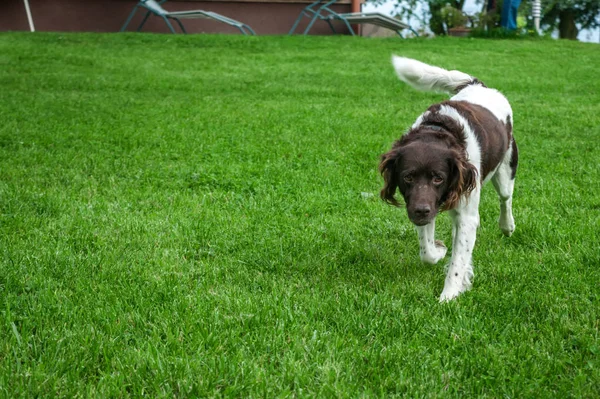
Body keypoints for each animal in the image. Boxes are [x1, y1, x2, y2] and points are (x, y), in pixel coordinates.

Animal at [380, 54, 516, 302]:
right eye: (408, 177)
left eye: (438, 178)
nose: (421, 211)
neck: (438, 130)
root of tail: (477, 84)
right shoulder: (425, 203)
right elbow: (427, 252)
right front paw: (440, 249)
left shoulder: (465, 213)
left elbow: (458, 261)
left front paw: (448, 298)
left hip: (506, 169)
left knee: (505, 199)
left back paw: (507, 226)